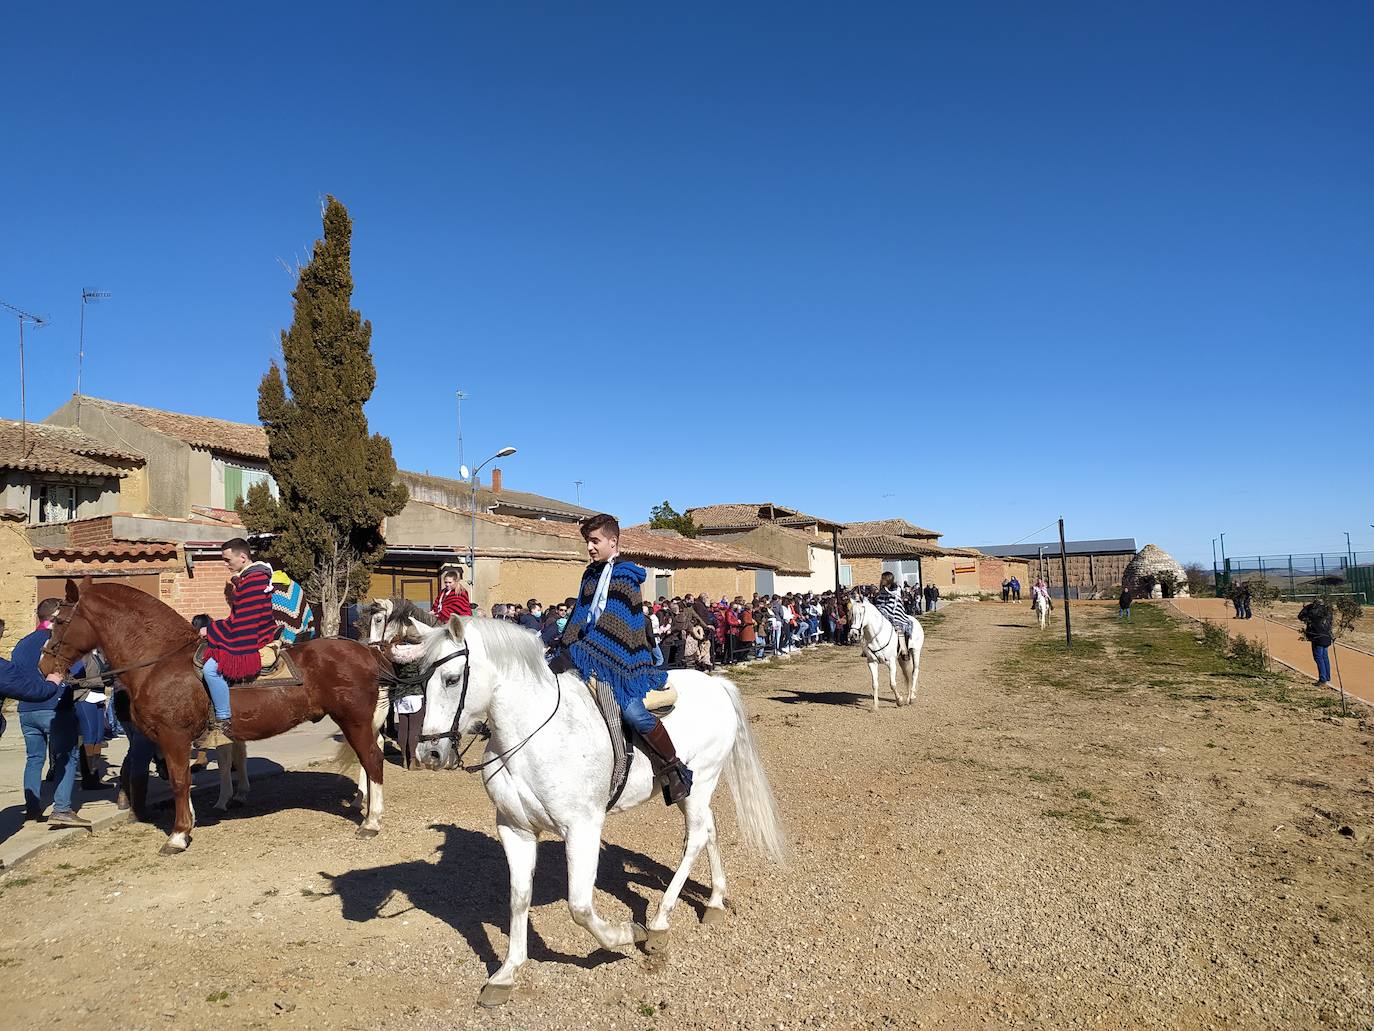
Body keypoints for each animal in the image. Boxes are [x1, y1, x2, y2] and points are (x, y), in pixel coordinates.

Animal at [38, 582, 387, 857]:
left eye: (60, 621)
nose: (44, 665)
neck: (160, 660)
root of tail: (367, 652)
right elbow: (185, 779)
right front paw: (191, 821)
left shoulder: (174, 736)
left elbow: (179, 781)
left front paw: (178, 835)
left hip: (354, 721)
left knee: (372, 759)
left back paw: (372, 822)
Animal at [409, 613, 785, 1011]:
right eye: (421, 680)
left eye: (451, 679)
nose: (428, 753)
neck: (532, 737)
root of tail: (716, 684)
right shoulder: (515, 829)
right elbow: (519, 897)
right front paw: (507, 973)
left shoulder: (583, 828)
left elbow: (580, 906)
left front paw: (627, 934)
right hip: (693, 791)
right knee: (709, 830)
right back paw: (714, 901)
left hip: (701, 783)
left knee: (696, 838)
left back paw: (659, 923)